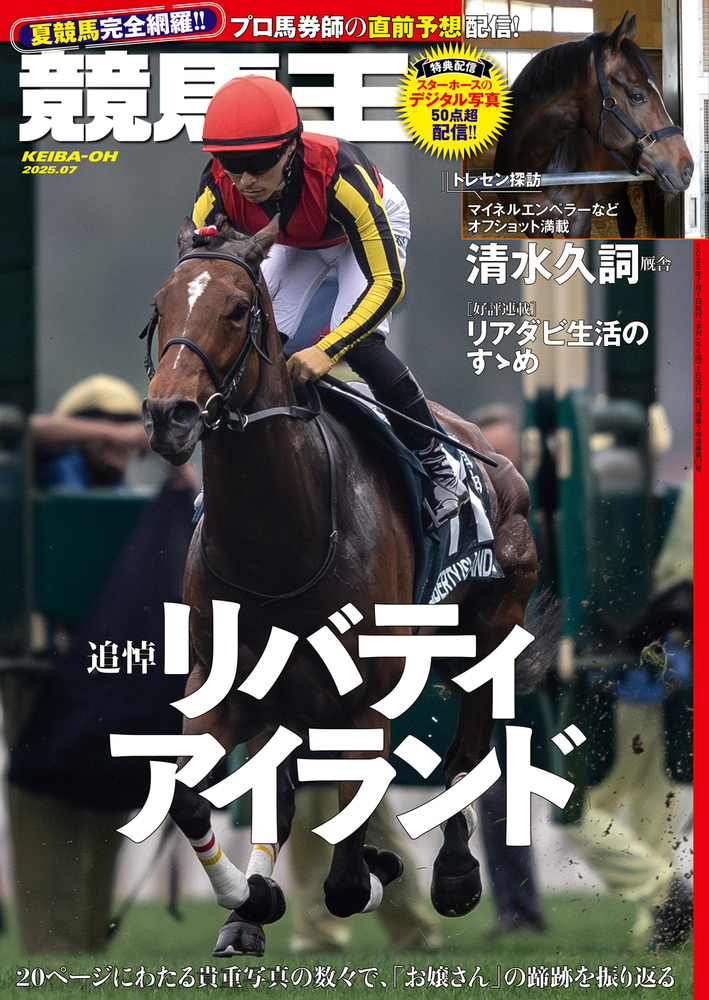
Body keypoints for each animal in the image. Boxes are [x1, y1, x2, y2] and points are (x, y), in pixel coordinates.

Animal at [141, 215, 540, 957]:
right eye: (162, 304)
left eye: (236, 309)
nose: (167, 415)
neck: (278, 542)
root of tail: (492, 454)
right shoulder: (224, 683)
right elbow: (185, 796)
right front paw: (249, 898)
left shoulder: (366, 698)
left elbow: (349, 879)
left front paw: (377, 870)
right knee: (284, 790)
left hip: (489, 628)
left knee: (467, 752)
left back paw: (454, 872)